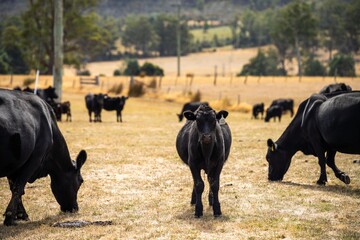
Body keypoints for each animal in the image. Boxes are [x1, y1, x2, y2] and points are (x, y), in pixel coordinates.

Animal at [0, 89, 86, 226]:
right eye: (81, 181)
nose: (75, 208)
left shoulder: (16, 164)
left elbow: (14, 188)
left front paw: (20, 215)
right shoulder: (35, 159)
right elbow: (18, 188)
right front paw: (10, 217)